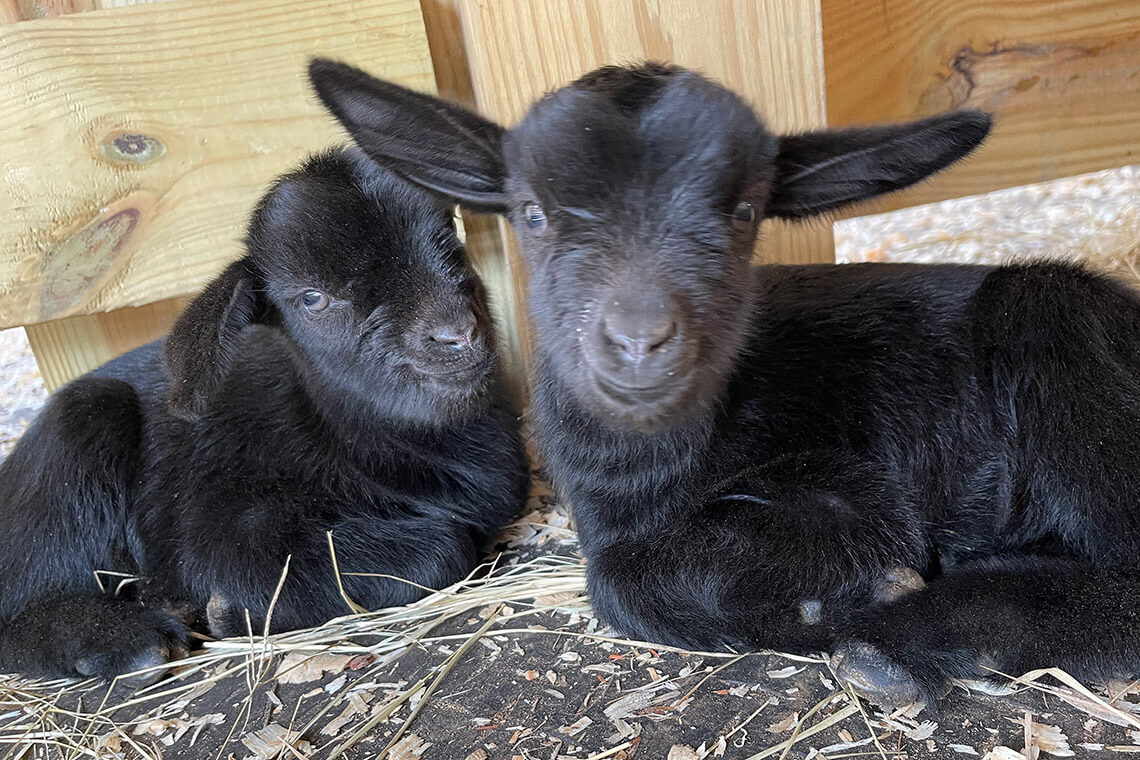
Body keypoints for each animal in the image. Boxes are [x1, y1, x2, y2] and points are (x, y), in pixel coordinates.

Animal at [0, 147, 529, 683]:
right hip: (79, 427)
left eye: (449, 236)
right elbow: (444, 550)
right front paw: (229, 613)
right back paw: (130, 641)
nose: (457, 333)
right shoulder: (225, 525)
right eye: (312, 298)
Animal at [310, 59, 1140, 708]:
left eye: (743, 212)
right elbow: (617, 573)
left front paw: (870, 595)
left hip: (1058, 332)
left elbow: (619, 578)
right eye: (532, 213)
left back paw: (897, 645)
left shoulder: (854, 489)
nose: (639, 339)